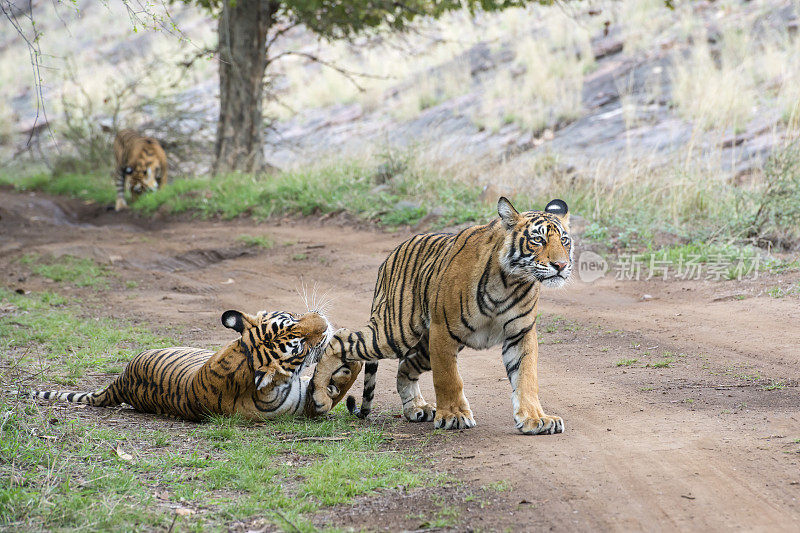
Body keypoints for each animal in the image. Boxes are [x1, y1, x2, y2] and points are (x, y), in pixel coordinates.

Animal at [32, 308, 362, 420]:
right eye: (300, 345)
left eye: (291, 319)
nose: (324, 323)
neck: (244, 355)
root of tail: (121, 382)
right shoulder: (301, 404)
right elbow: (337, 388)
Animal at [310, 197, 572, 434]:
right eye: (537, 240)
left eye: (565, 240)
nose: (561, 265)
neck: (511, 282)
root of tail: (391, 255)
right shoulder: (443, 331)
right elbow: (448, 378)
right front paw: (454, 416)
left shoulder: (521, 334)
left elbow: (526, 378)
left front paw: (536, 419)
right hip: (394, 333)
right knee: (340, 338)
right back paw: (320, 397)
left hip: (422, 347)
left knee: (404, 366)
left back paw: (416, 408)